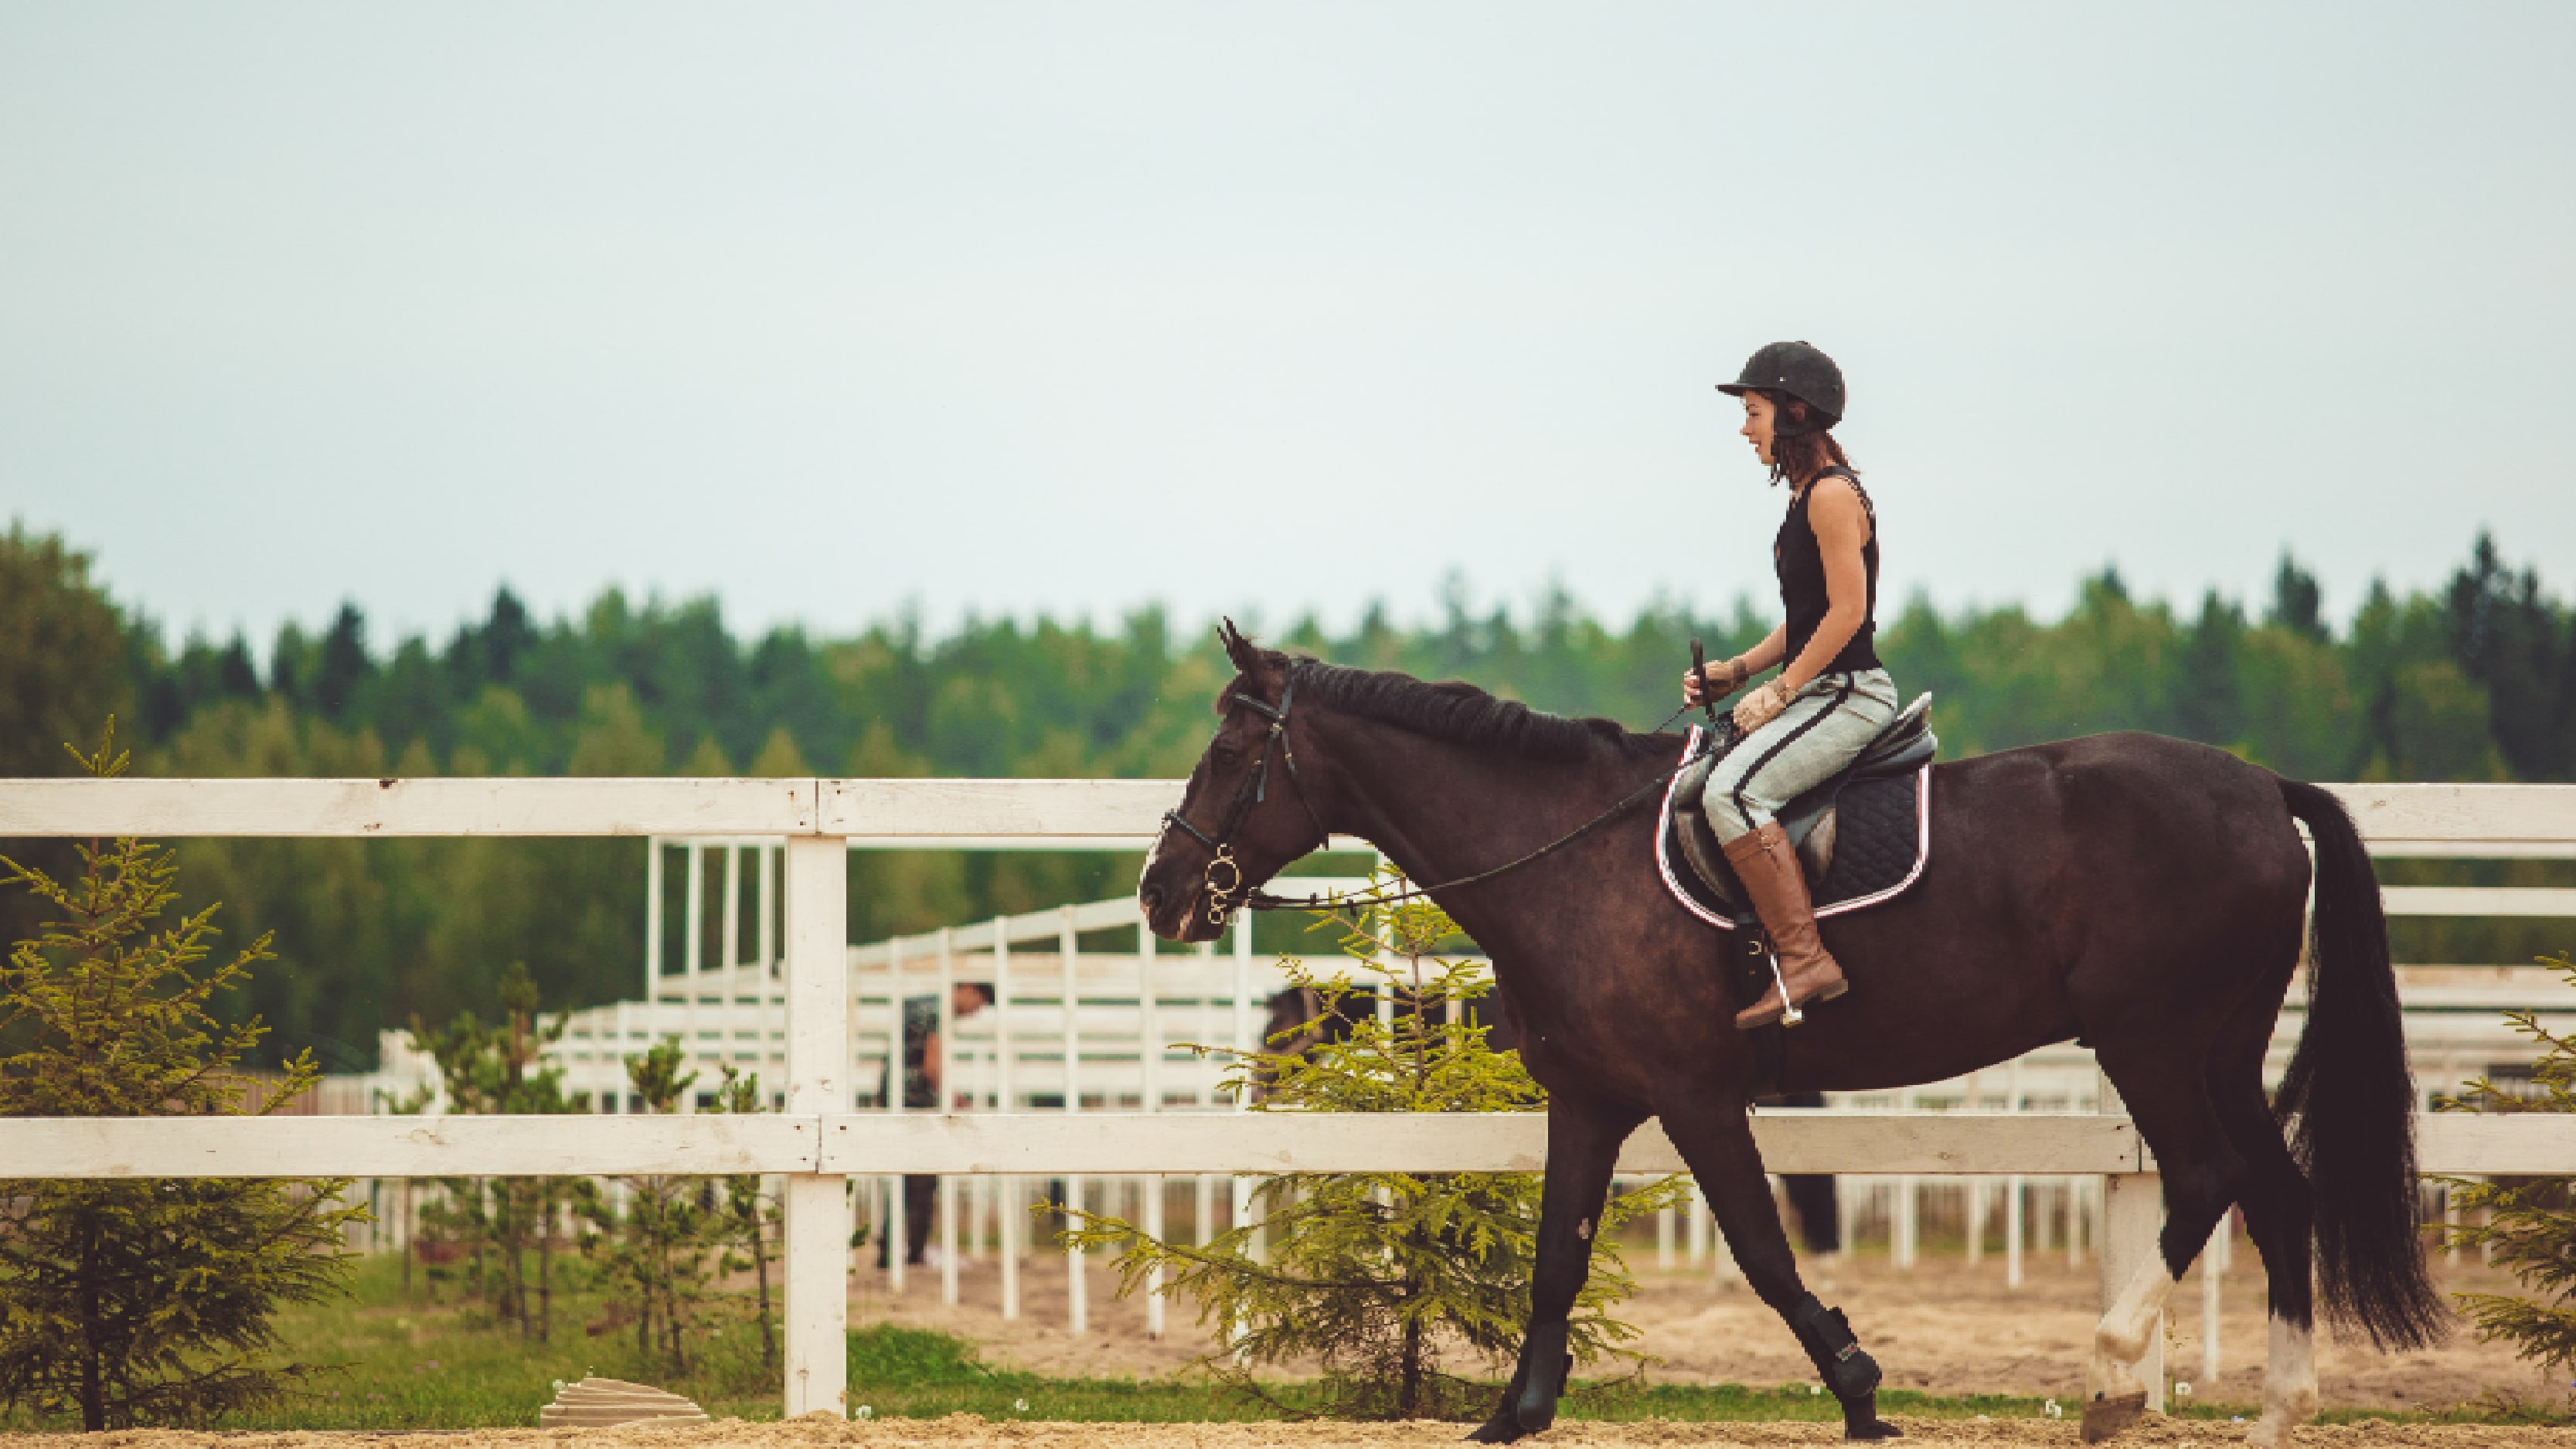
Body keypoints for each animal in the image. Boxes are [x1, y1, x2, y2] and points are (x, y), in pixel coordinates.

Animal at [1143, 633, 2431, 1449]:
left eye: (1228, 755)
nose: (1163, 893)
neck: (1570, 853)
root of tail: (2262, 787)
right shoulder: (1592, 1098)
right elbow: (1557, 1256)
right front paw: (1514, 1411)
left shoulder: (1695, 1094)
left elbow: (1763, 1250)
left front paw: (1859, 1390)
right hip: (2222, 1043)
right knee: (2277, 1190)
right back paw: (2275, 1411)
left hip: (2152, 1039)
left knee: (2207, 1178)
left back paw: (2115, 1381)